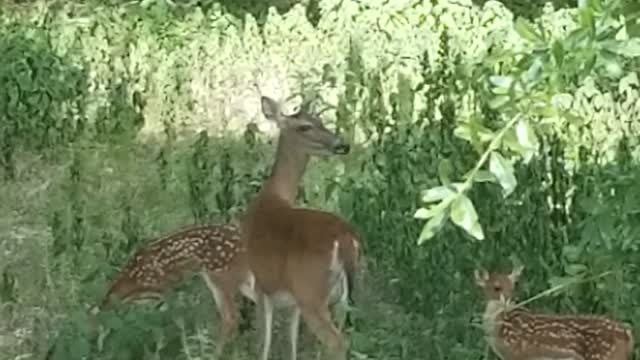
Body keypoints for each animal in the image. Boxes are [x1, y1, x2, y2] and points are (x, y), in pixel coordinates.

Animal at [240, 95, 360, 360]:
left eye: (321, 121)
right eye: (306, 126)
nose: (343, 145)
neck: (272, 196)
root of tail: (345, 239)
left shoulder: (262, 284)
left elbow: (263, 343)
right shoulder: (291, 298)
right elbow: (291, 339)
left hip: (311, 293)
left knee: (337, 343)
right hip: (342, 295)